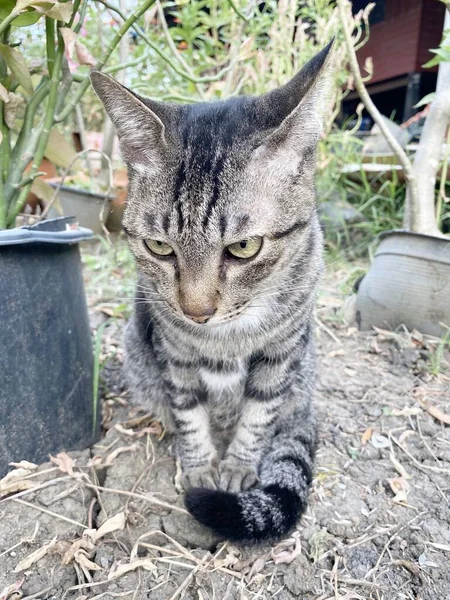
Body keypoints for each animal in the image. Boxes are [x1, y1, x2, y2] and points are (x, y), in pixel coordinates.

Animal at [90, 39, 330, 540]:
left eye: (244, 247)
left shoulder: (281, 352)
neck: (226, 337)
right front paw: (200, 466)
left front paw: (238, 465)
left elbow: (259, 413)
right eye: (160, 247)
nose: (196, 312)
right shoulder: (174, 352)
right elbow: (188, 411)